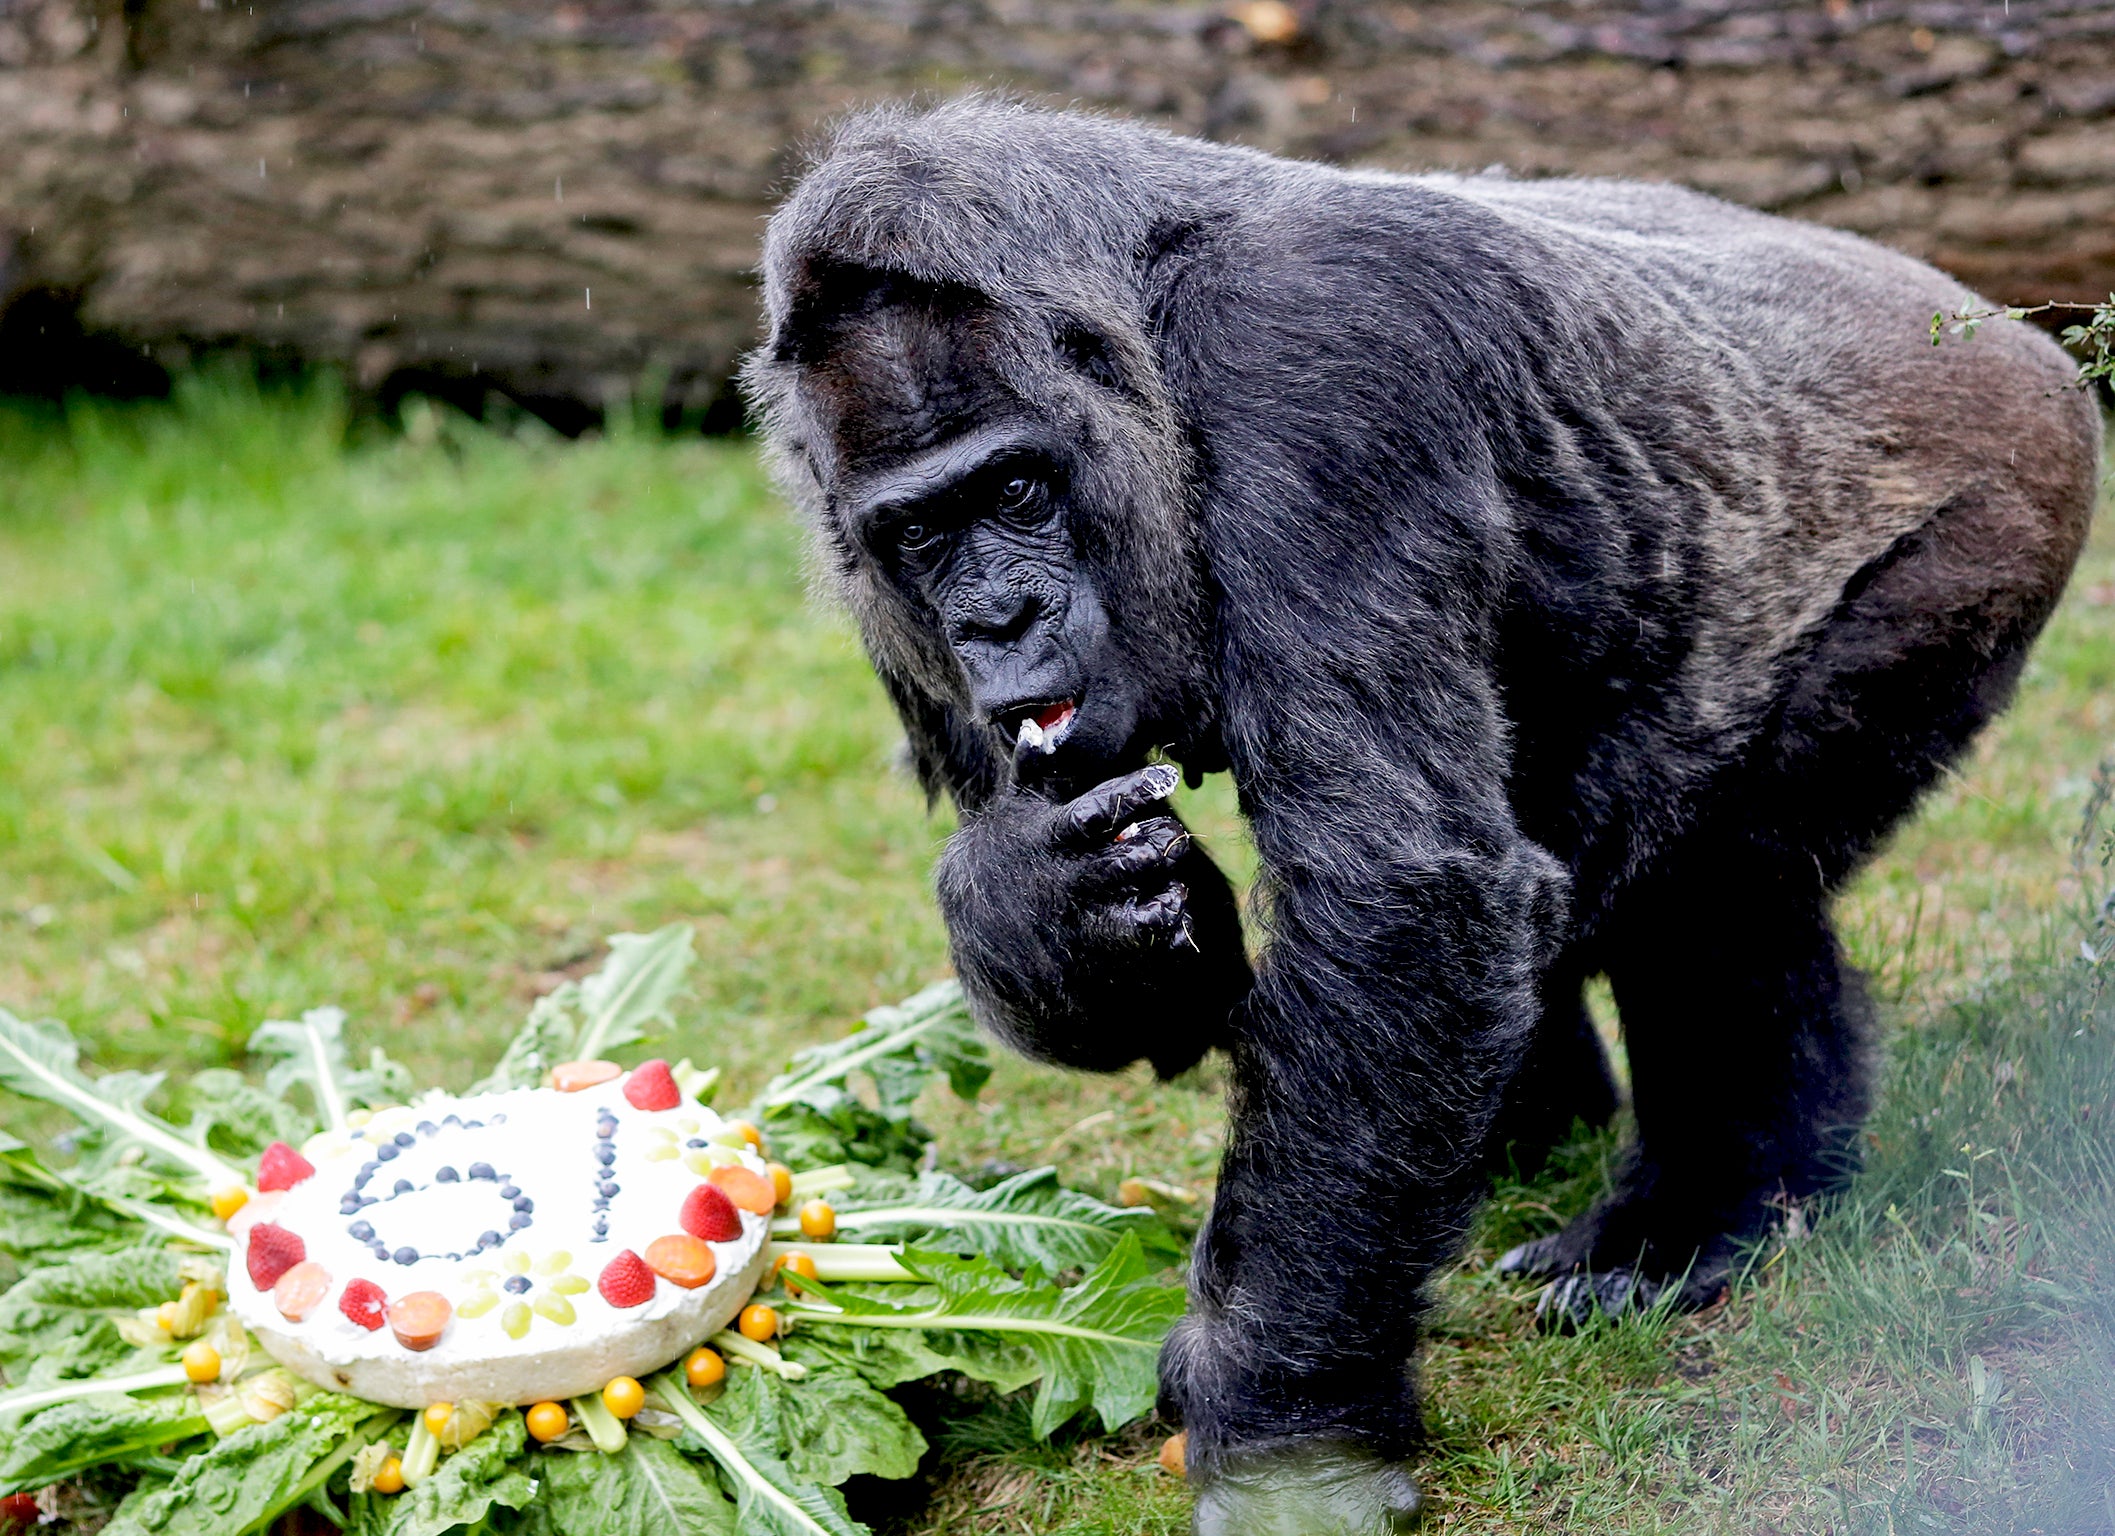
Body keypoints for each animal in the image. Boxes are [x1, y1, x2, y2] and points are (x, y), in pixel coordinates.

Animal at [744, 102, 2098, 1531]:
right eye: (921, 535)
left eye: (1014, 492)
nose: (997, 622)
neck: (1139, 317)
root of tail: (2007, 322)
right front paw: (1032, 902)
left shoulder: (1319, 361)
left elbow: (1400, 897)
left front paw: (1289, 1439)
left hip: (1994, 511)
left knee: (1716, 887)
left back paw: (1702, 1211)